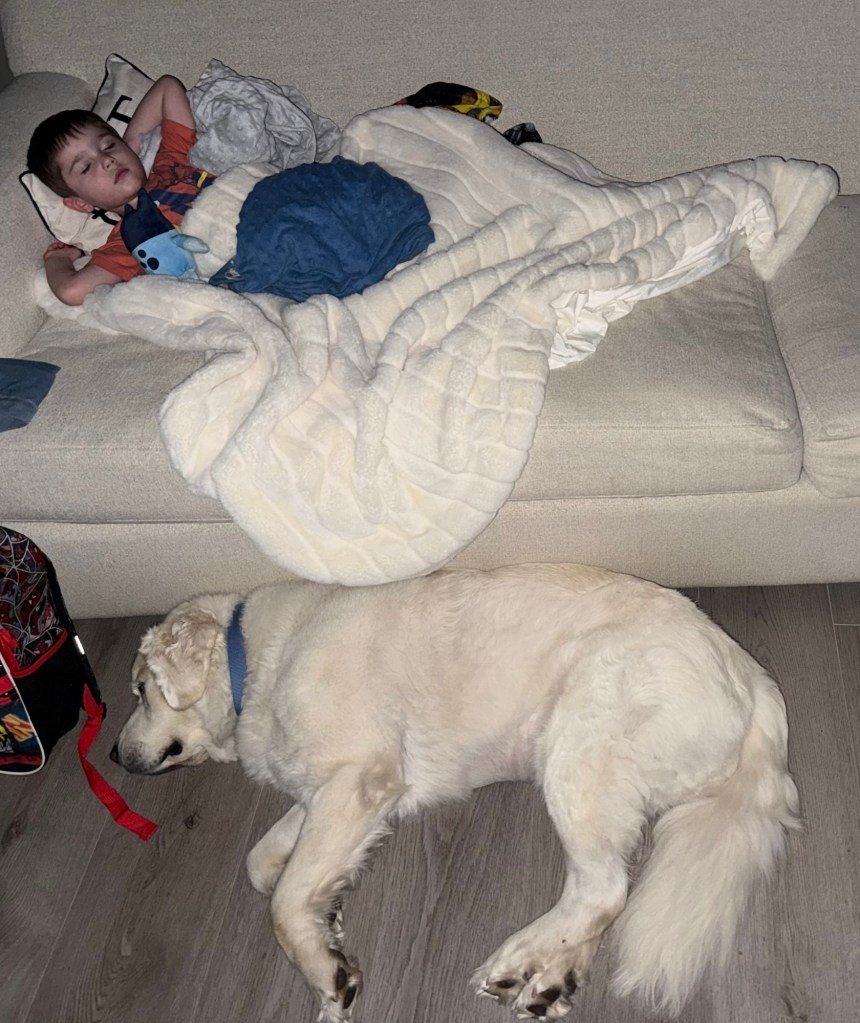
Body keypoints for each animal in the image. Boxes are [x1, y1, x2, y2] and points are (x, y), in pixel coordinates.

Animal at [112, 563, 799, 1022]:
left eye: (141, 691)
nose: (115, 756)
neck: (255, 662)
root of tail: (749, 673)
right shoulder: (327, 796)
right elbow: (264, 866)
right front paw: (329, 916)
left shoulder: (360, 778)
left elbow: (281, 903)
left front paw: (327, 975)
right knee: (602, 894)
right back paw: (550, 981)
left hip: (576, 751)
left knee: (604, 889)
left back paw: (519, 959)